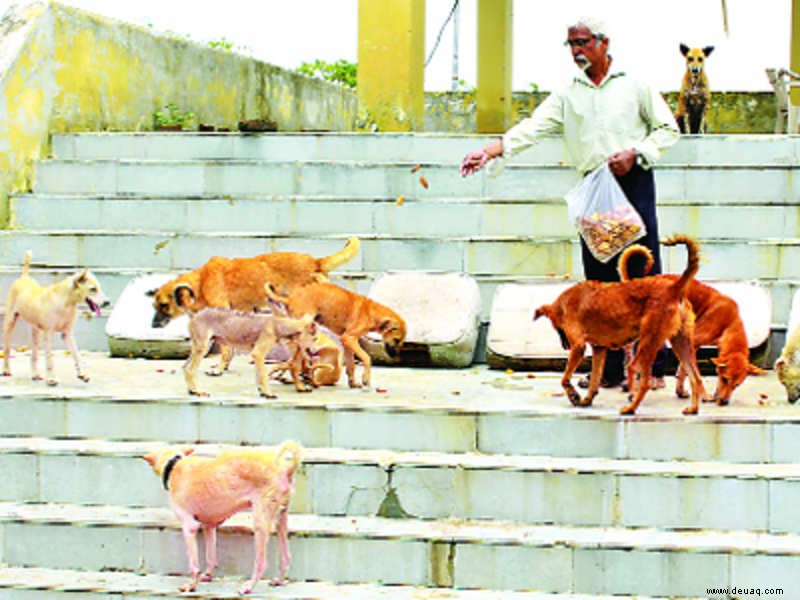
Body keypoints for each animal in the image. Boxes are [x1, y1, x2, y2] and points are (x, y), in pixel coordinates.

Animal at [142, 438, 302, 596]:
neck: (175, 465)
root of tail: (285, 468)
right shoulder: (209, 526)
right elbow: (211, 557)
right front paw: (207, 576)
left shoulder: (189, 526)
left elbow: (194, 565)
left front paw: (191, 585)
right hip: (281, 518)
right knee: (286, 557)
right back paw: (279, 580)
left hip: (260, 522)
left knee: (261, 563)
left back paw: (248, 587)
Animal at [149, 239, 360, 376]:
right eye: (155, 305)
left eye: (164, 305)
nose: (152, 326)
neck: (201, 282)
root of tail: (315, 261)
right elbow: (229, 350)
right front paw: (222, 367)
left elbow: (225, 350)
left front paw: (219, 369)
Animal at [268, 282, 406, 390]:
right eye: (396, 340)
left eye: (401, 342)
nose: (396, 359)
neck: (371, 312)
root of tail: (291, 298)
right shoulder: (349, 338)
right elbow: (366, 357)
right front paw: (365, 379)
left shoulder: (347, 342)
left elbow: (351, 364)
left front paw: (353, 383)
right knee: (295, 363)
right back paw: (300, 384)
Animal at [536, 232, 704, 414]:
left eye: (556, 327)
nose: (565, 346)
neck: (564, 303)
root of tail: (674, 288)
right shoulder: (599, 349)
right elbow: (595, 379)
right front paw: (587, 399)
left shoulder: (578, 347)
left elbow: (564, 378)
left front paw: (573, 395)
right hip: (680, 342)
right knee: (695, 378)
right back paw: (693, 408)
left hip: (648, 343)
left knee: (642, 379)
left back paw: (630, 407)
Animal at [616, 243, 764, 404]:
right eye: (724, 379)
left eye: (736, 385)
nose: (724, 402)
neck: (729, 323)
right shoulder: (693, 342)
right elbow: (695, 374)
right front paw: (704, 395)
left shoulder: (690, 344)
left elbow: (683, 370)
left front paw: (680, 391)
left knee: (628, 352)